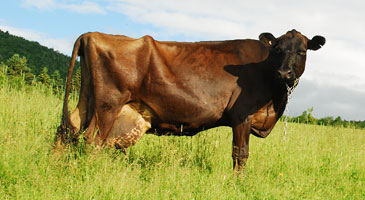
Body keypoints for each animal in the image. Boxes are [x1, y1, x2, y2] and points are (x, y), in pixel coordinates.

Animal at [56, 29, 324, 172]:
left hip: (88, 100)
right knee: (92, 139)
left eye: (302, 50)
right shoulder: (242, 116)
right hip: (108, 105)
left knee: (68, 130)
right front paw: (239, 184)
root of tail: (91, 34)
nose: (284, 72)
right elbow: (240, 153)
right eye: (278, 49)